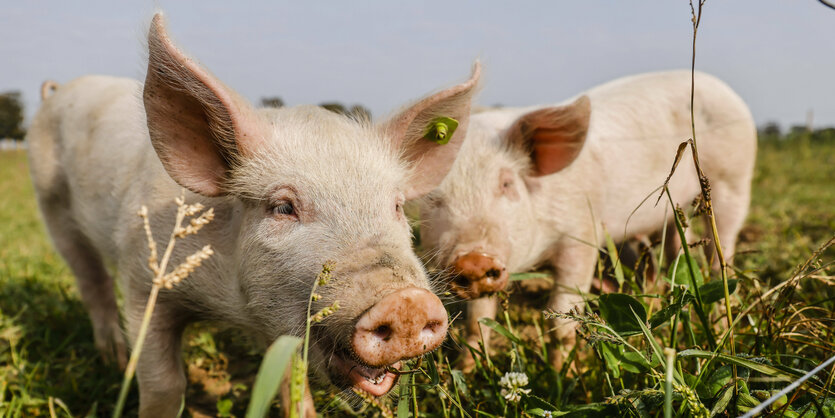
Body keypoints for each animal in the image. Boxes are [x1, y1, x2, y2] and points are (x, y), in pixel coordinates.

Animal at [26, 13, 480, 418]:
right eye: (283, 207)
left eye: (397, 206)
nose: (407, 302)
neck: (230, 309)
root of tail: (57, 92)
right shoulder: (144, 280)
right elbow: (163, 385)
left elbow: (288, 377)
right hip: (51, 201)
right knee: (91, 281)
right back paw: (114, 359)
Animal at [422, 70, 756, 364]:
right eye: (432, 197)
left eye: (506, 184)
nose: (473, 260)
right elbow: (478, 321)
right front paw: (469, 368)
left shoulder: (581, 235)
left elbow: (561, 316)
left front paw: (562, 373)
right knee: (678, 243)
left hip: (732, 182)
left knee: (721, 248)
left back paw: (719, 320)